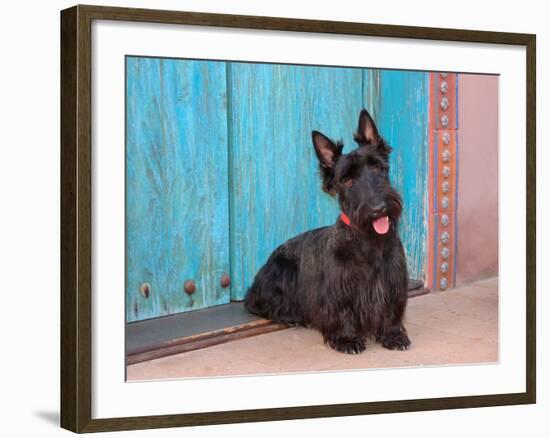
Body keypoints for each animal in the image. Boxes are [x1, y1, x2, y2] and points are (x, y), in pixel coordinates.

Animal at [244, 108, 412, 354]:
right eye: (347, 180)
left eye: (378, 168)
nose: (378, 208)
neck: (368, 241)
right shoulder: (338, 291)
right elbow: (341, 311)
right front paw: (347, 339)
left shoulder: (392, 284)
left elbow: (390, 312)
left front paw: (393, 335)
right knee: (259, 304)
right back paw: (293, 316)